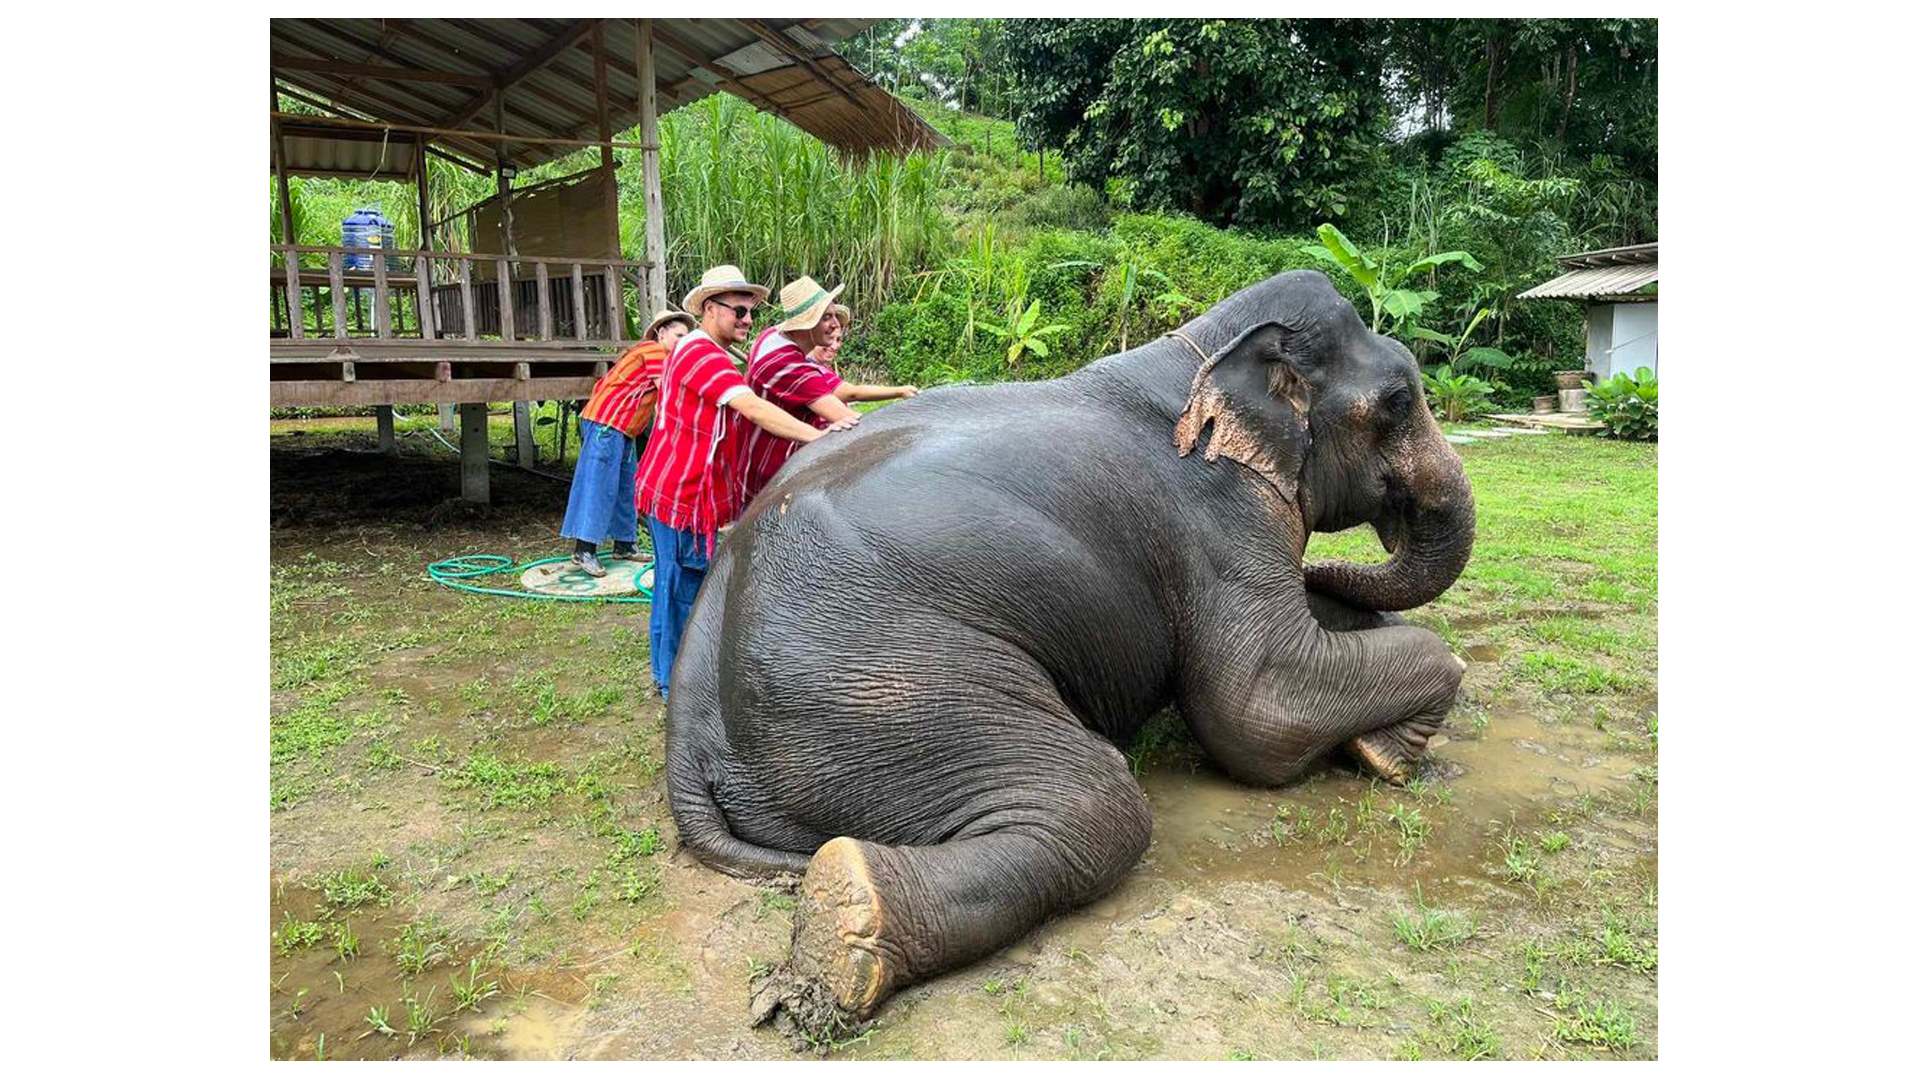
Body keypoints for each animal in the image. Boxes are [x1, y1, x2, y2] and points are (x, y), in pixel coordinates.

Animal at [662, 270, 1474, 1041]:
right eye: (1398, 400)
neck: (1203, 348)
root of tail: (688, 745)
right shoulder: (1217, 515)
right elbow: (1260, 712)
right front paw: (1392, 754)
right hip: (883, 686)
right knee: (1098, 806)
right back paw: (843, 924)